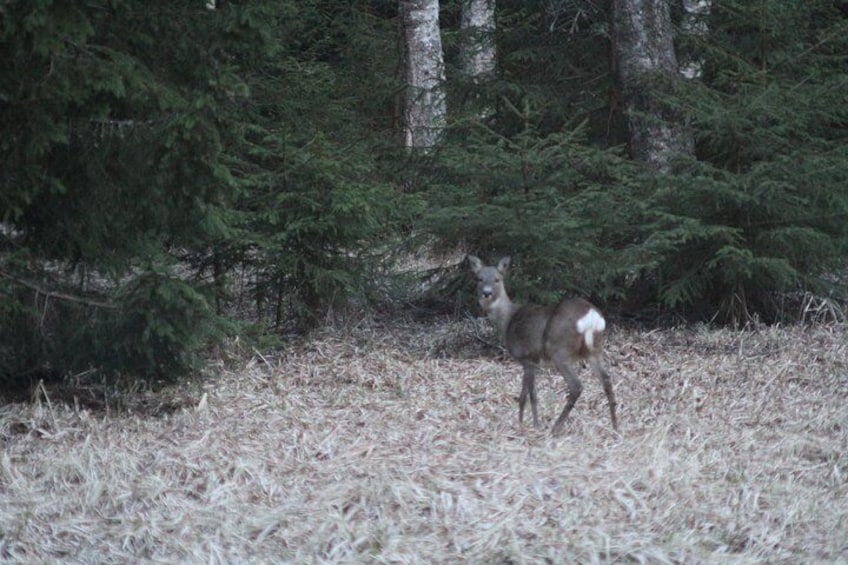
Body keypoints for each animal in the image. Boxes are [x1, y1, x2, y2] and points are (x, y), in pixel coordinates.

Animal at [468, 256, 620, 432]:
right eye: (479, 279)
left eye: (497, 279)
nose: (487, 293)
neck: (507, 320)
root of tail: (591, 317)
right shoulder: (531, 362)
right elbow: (526, 394)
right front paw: (524, 422)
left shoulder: (526, 357)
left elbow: (530, 394)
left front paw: (532, 424)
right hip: (594, 349)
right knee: (607, 380)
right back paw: (615, 425)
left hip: (559, 350)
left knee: (576, 386)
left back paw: (556, 428)